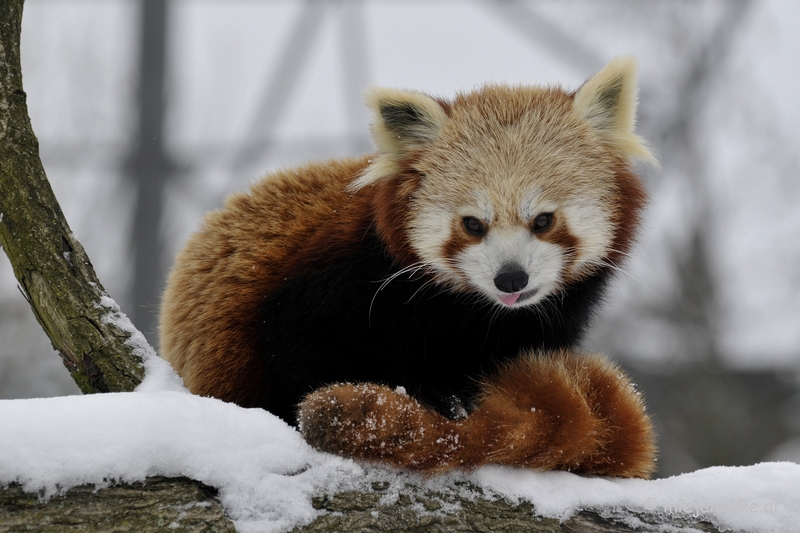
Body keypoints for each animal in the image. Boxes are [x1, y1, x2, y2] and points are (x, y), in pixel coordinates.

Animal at [161, 57, 656, 478]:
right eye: (473, 224)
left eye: (543, 221)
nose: (511, 277)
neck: (473, 313)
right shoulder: (341, 280)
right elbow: (300, 353)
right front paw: (427, 394)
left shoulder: (542, 326)